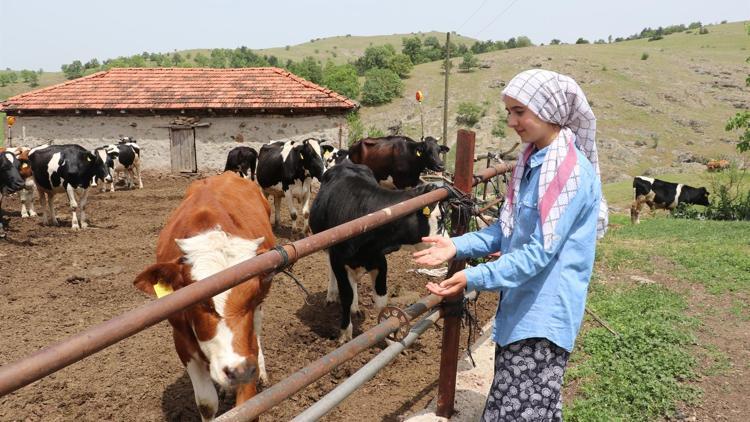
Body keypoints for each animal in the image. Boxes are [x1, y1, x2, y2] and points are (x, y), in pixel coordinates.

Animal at [134, 172, 276, 422]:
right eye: (200, 301)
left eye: (250, 298)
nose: (238, 370)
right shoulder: (181, 338)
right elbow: (207, 403)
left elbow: (247, 404)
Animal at [310, 160, 444, 342]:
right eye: (439, 218)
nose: (450, 241)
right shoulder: (338, 260)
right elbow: (346, 295)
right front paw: (345, 332)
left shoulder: (379, 260)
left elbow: (381, 299)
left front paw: (387, 334)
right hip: (327, 247)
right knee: (333, 272)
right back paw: (331, 295)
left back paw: (355, 307)